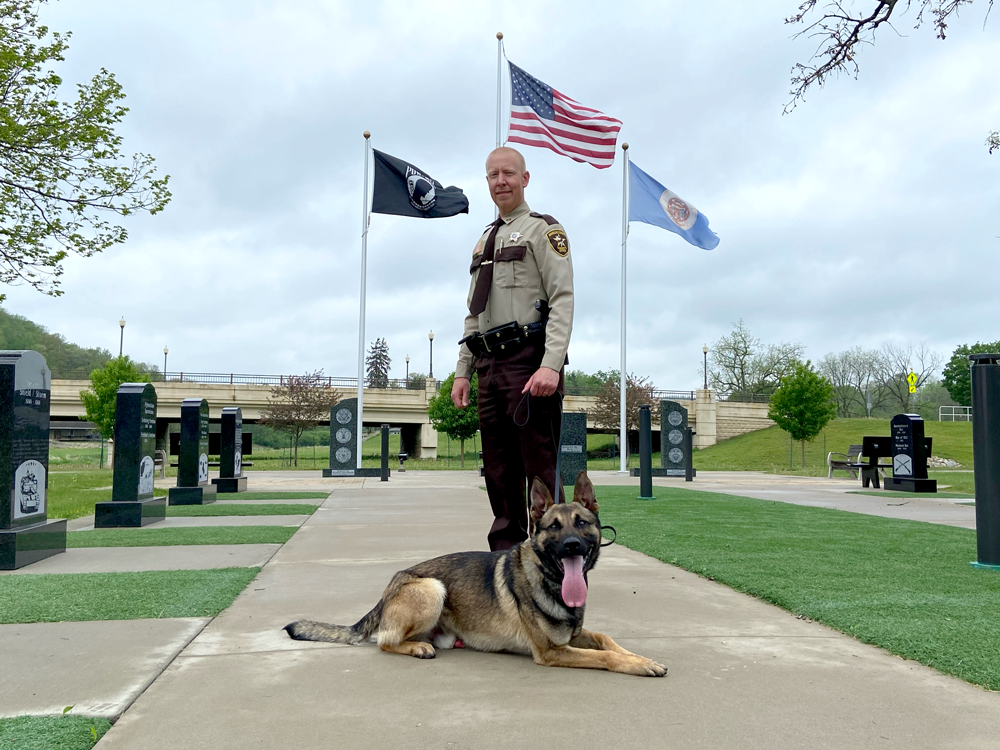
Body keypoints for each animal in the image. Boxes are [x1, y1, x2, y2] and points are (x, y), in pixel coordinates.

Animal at [286, 472, 668, 680]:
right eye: (553, 527)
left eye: (582, 523)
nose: (572, 546)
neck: (549, 580)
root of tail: (387, 591)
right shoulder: (551, 652)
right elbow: (605, 656)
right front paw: (637, 665)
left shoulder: (573, 637)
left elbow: (606, 639)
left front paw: (641, 658)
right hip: (432, 588)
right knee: (384, 641)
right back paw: (417, 647)